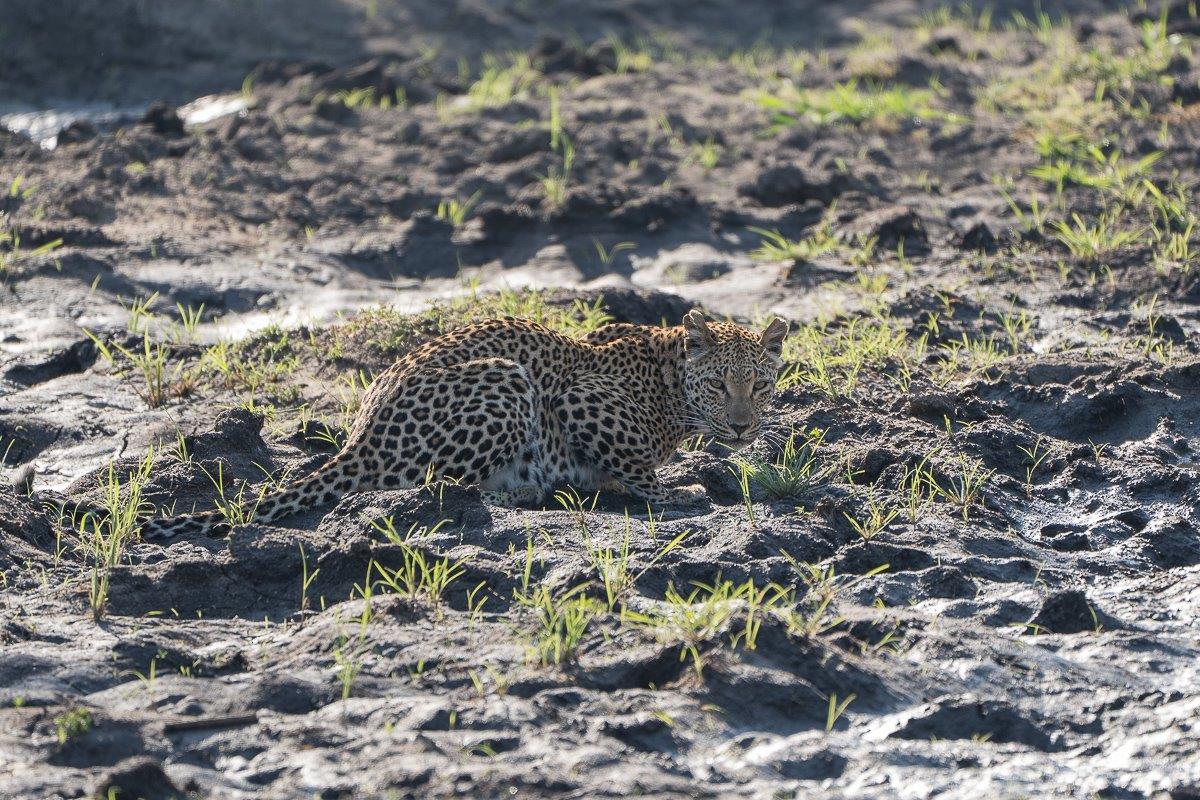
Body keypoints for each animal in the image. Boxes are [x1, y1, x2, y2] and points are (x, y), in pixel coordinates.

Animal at [139, 309, 789, 540]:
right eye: (720, 385)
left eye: (758, 385)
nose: (741, 428)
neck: (669, 379)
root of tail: (360, 436)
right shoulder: (582, 400)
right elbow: (637, 464)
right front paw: (678, 492)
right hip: (505, 380)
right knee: (436, 484)